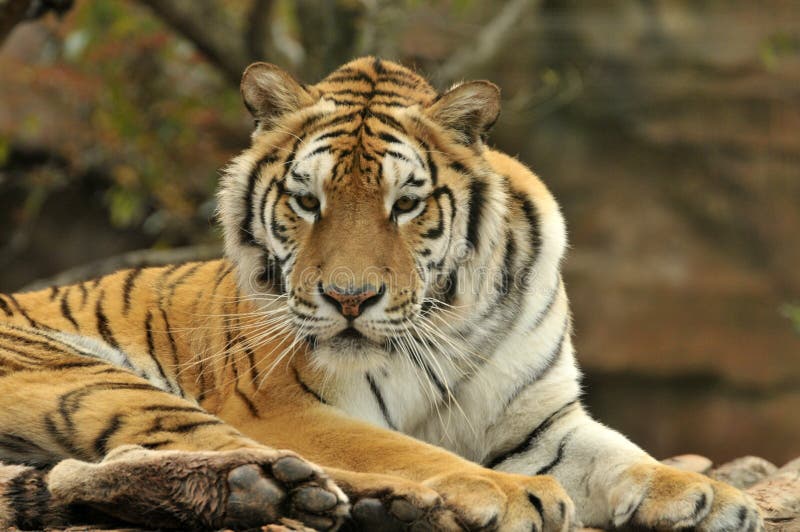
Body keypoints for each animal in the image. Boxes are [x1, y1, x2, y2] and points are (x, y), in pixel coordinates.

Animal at [0, 57, 763, 531]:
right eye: (308, 202)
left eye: (406, 205)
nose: (349, 299)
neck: (450, 322)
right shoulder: (283, 407)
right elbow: (403, 448)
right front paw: (506, 490)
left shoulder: (540, 421)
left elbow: (620, 452)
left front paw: (706, 496)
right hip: (83, 376)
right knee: (180, 452)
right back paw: (364, 500)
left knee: (86, 470)